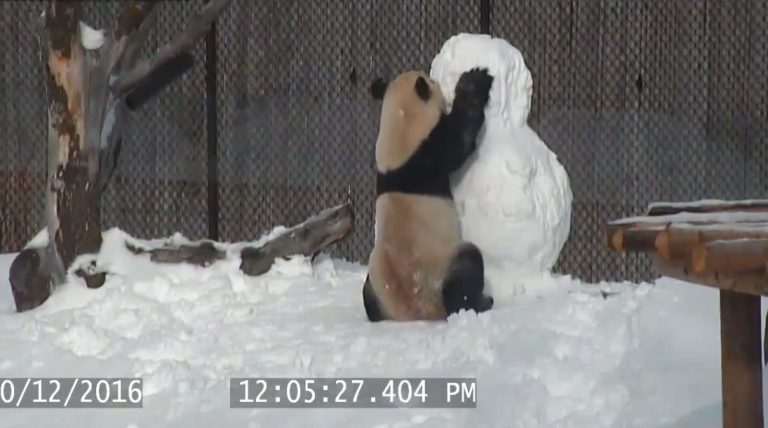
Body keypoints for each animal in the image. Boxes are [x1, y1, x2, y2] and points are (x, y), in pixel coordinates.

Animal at [362, 68, 496, 322]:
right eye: (433, 80)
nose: (437, 81)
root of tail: (417, 311)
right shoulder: (431, 150)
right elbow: (461, 138)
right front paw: (474, 80)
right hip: (440, 265)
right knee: (467, 268)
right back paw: (479, 303)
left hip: (375, 280)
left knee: (367, 295)